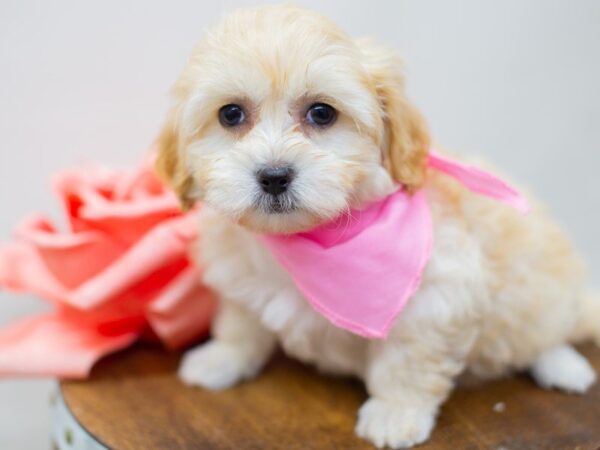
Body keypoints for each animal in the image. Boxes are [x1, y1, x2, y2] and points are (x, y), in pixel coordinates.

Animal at [156, 5, 600, 448]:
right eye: (231, 114)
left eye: (322, 112)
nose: (274, 175)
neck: (308, 237)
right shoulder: (237, 271)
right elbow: (240, 321)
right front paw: (221, 358)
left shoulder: (433, 298)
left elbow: (406, 361)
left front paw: (395, 413)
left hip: (541, 294)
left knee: (551, 330)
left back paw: (565, 367)